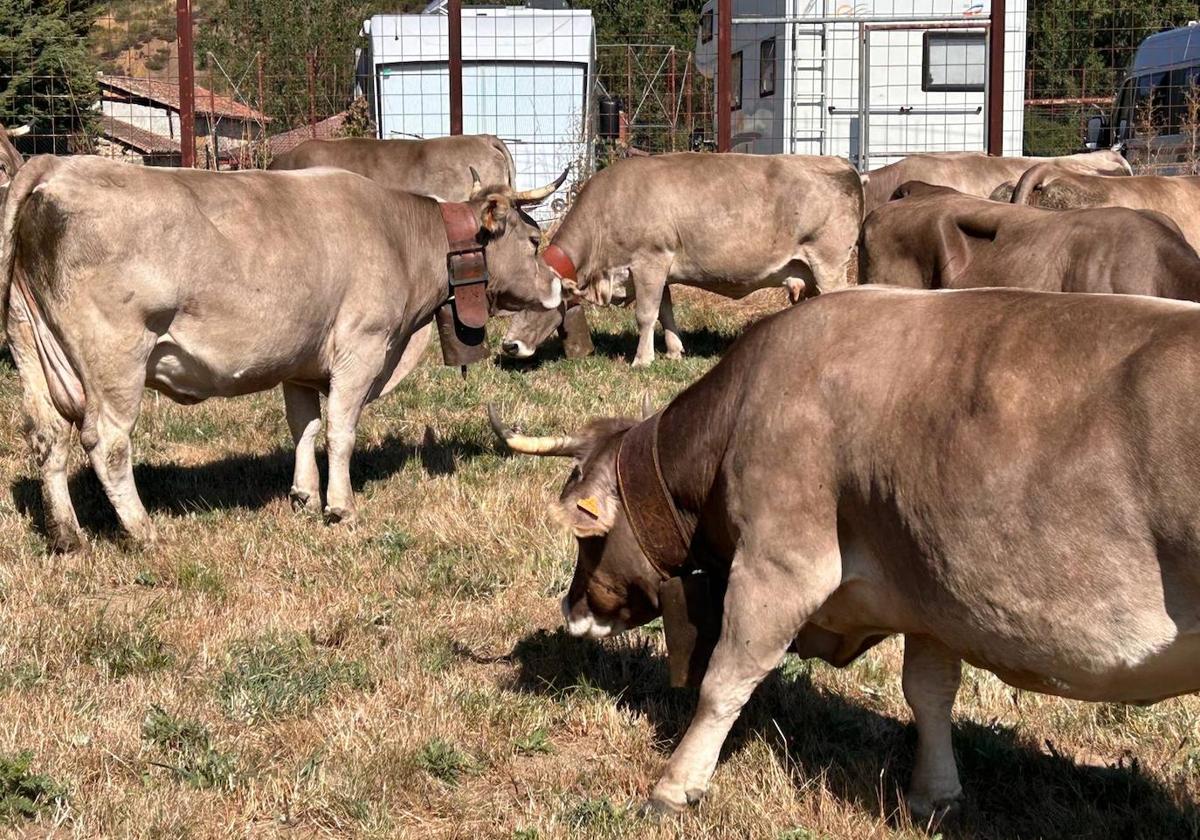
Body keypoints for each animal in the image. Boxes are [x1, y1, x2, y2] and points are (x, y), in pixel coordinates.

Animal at [2, 157, 564, 552]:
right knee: (107, 442)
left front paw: (304, 496)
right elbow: (340, 431)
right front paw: (341, 507)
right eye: (534, 239)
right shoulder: (362, 348)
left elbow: (305, 428)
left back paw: (67, 536)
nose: (560, 285)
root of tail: (56, 165)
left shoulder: (300, 361)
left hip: (30, 343)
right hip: (116, 356)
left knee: (48, 437)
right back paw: (144, 531)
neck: (401, 237)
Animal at [492, 286, 1200, 820]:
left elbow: (724, 678)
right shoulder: (934, 582)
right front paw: (934, 796)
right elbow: (930, 691)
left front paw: (673, 787)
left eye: (585, 536)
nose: (571, 611)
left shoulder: (781, 559)